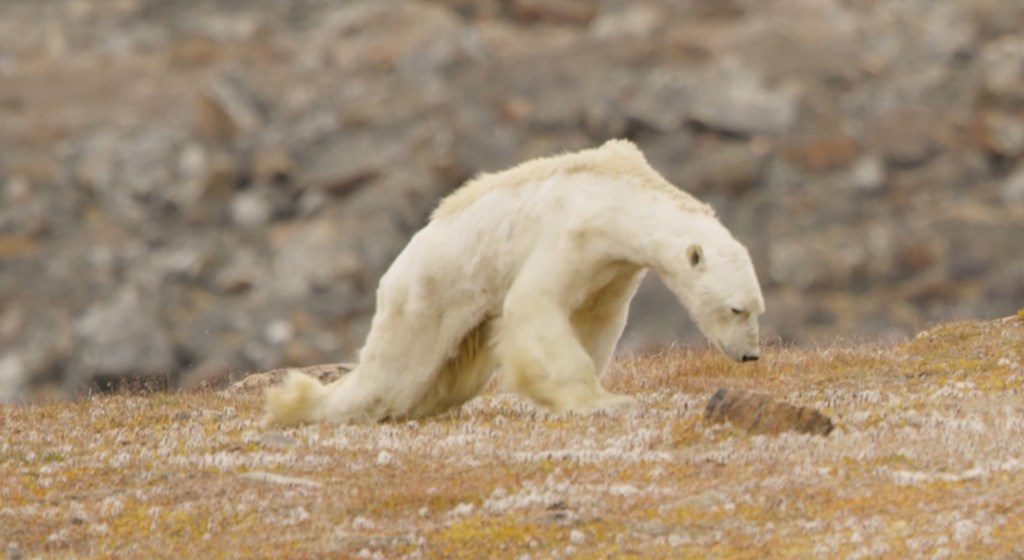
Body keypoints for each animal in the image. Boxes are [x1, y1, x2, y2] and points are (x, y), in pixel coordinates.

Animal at [264, 139, 761, 425]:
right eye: (736, 308)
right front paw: (601, 401)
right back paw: (297, 405)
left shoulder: (614, 267)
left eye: (757, 309)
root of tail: (394, 271)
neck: (620, 195)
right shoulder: (571, 232)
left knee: (446, 379)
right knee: (393, 376)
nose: (750, 355)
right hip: (427, 295)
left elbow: (597, 319)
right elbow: (534, 304)